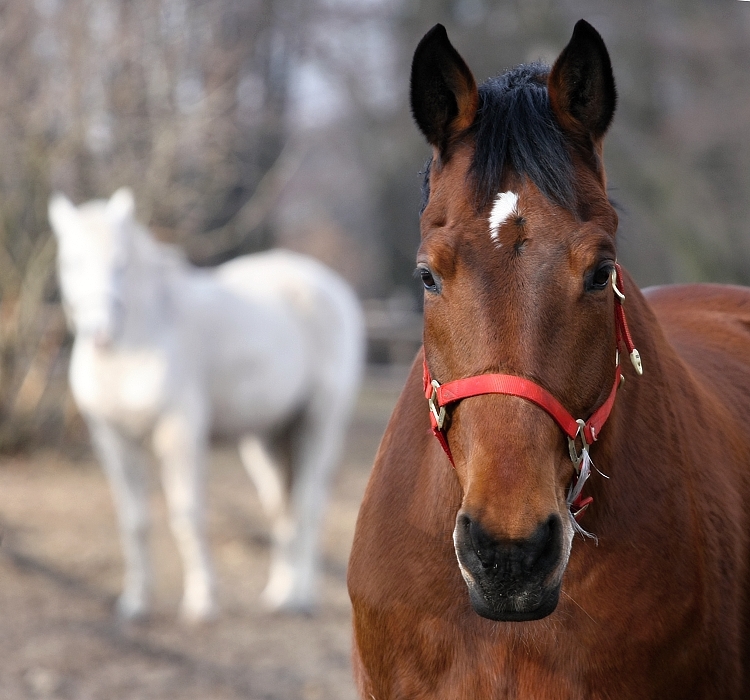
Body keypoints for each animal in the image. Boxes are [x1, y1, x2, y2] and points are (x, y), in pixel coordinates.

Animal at [48, 189, 366, 620]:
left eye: (121, 263)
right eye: (70, 262)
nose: (100, 332)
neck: (142, 339)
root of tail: (333, 288)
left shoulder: (178, 431)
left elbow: (187, 514)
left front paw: (201, 601)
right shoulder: (112, 439)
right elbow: (134, 521)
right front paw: (135, 602)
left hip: (318, 423)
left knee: (309, 504)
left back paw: (301, 598)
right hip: (268, 438)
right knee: (281, 508)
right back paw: (279, 594)